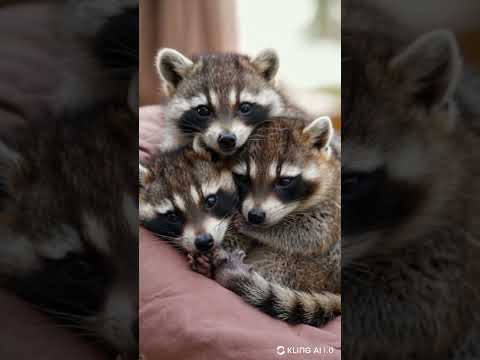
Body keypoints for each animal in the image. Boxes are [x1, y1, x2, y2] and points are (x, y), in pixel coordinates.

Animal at [202, 116, 342, 328]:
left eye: (284, 181)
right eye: (243, 178)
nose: (254, 216)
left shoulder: (333, 205)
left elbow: (312, 233)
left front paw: (256, 229)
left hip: (323, 267)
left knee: (281, 261)